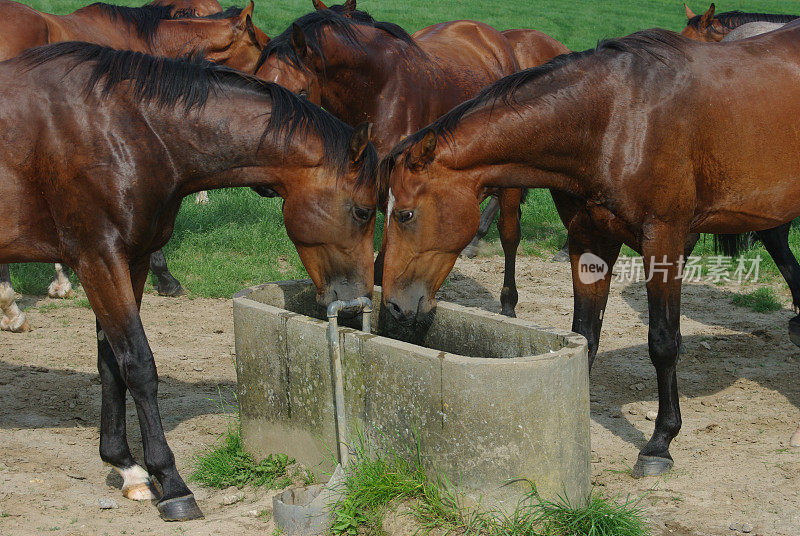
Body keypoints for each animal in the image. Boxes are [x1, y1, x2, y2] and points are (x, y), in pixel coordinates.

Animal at [1, 42, 376, 520]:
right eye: (363, 211)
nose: (356, 302)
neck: (126, 128)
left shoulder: (131, 260)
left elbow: (111, 363)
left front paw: (125, 466)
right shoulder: (98, 259)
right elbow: (139, 366)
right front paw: (171, 482)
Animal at [378, 24, 800, 478]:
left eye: (404, 214)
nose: (395, 306)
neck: (613, 123)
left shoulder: (663, 240)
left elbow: (663, 341)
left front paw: (660, 442)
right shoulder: (589, 241)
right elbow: (585, 336)